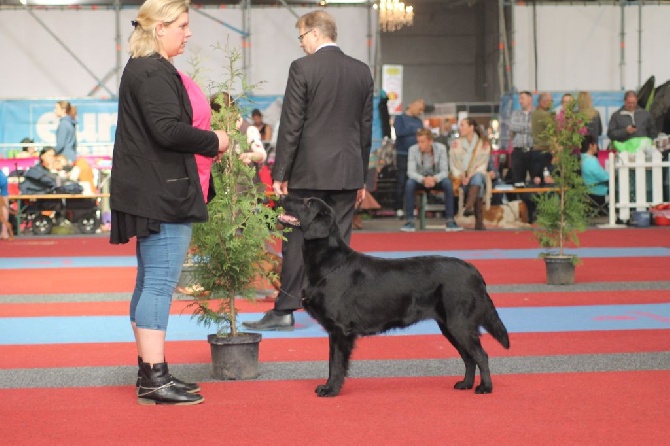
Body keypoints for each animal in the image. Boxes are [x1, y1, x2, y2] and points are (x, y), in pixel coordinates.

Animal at [280, 195, 512, 398]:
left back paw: (485, 388)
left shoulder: (340, 330)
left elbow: (336, 364)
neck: (329, 264)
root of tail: (475, 272)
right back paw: (465, 384)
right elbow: (331, 363)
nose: (282, 195)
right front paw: (329, 387)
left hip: (460, 325)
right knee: (468, 357)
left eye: (308, 203)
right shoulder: (334, 332)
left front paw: (331, 390)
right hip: (449, 326)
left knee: (481, 355)